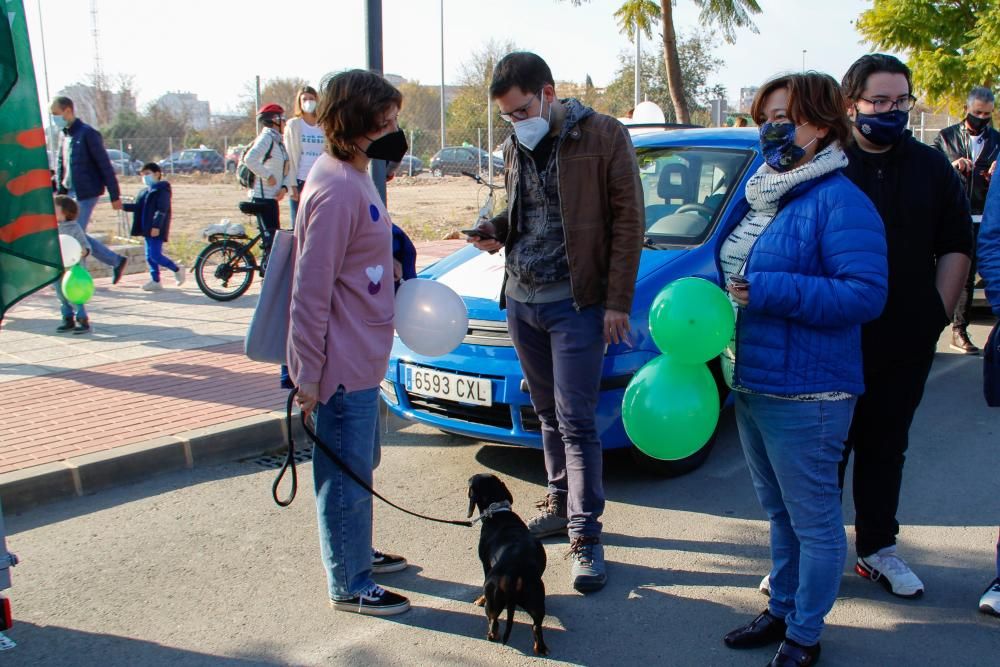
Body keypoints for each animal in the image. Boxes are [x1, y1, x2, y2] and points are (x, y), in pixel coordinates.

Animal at [466, 474, 552, 656]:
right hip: (536, 599)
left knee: (494, 621)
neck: (498, 512)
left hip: (492, 597)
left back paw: (492, 635)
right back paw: (540, 648)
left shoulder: (485, 564)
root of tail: (514, 572)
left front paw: (480, 600)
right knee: (536, 626)